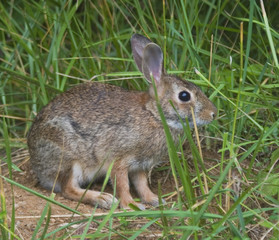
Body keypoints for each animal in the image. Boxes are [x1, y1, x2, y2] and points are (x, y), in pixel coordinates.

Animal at [27, 32, 218, 209]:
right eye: (184, 96)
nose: (213, 114)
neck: (153, 115)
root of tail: (37, 164)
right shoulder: (119, 160)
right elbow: (123, 184)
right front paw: (131, 205)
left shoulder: (139, 166)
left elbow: (142, 184)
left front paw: (155, 200)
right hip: (68, 157)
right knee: (68, 188)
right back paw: (103, 199)